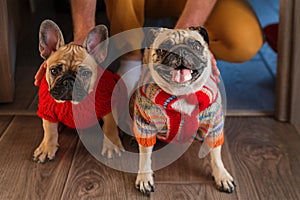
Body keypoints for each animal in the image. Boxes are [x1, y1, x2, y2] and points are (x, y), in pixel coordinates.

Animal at [33, 19, 125, 162]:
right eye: (54, 71)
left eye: (86, 73)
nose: (69, 82)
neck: (71, 103)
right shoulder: (47, 110)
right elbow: (49, 130)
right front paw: (47, 147)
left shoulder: (108, 106)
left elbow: (110, 127)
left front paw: (111, 146)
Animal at [134, 27, 234, 195]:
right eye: (163, 48)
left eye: (196, 46)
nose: (181, 51)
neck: (182, 93)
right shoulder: (145, 125)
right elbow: (145, 155)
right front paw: (144, 177)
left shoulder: (214, 125)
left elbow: (216, 154)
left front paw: (222, 175)